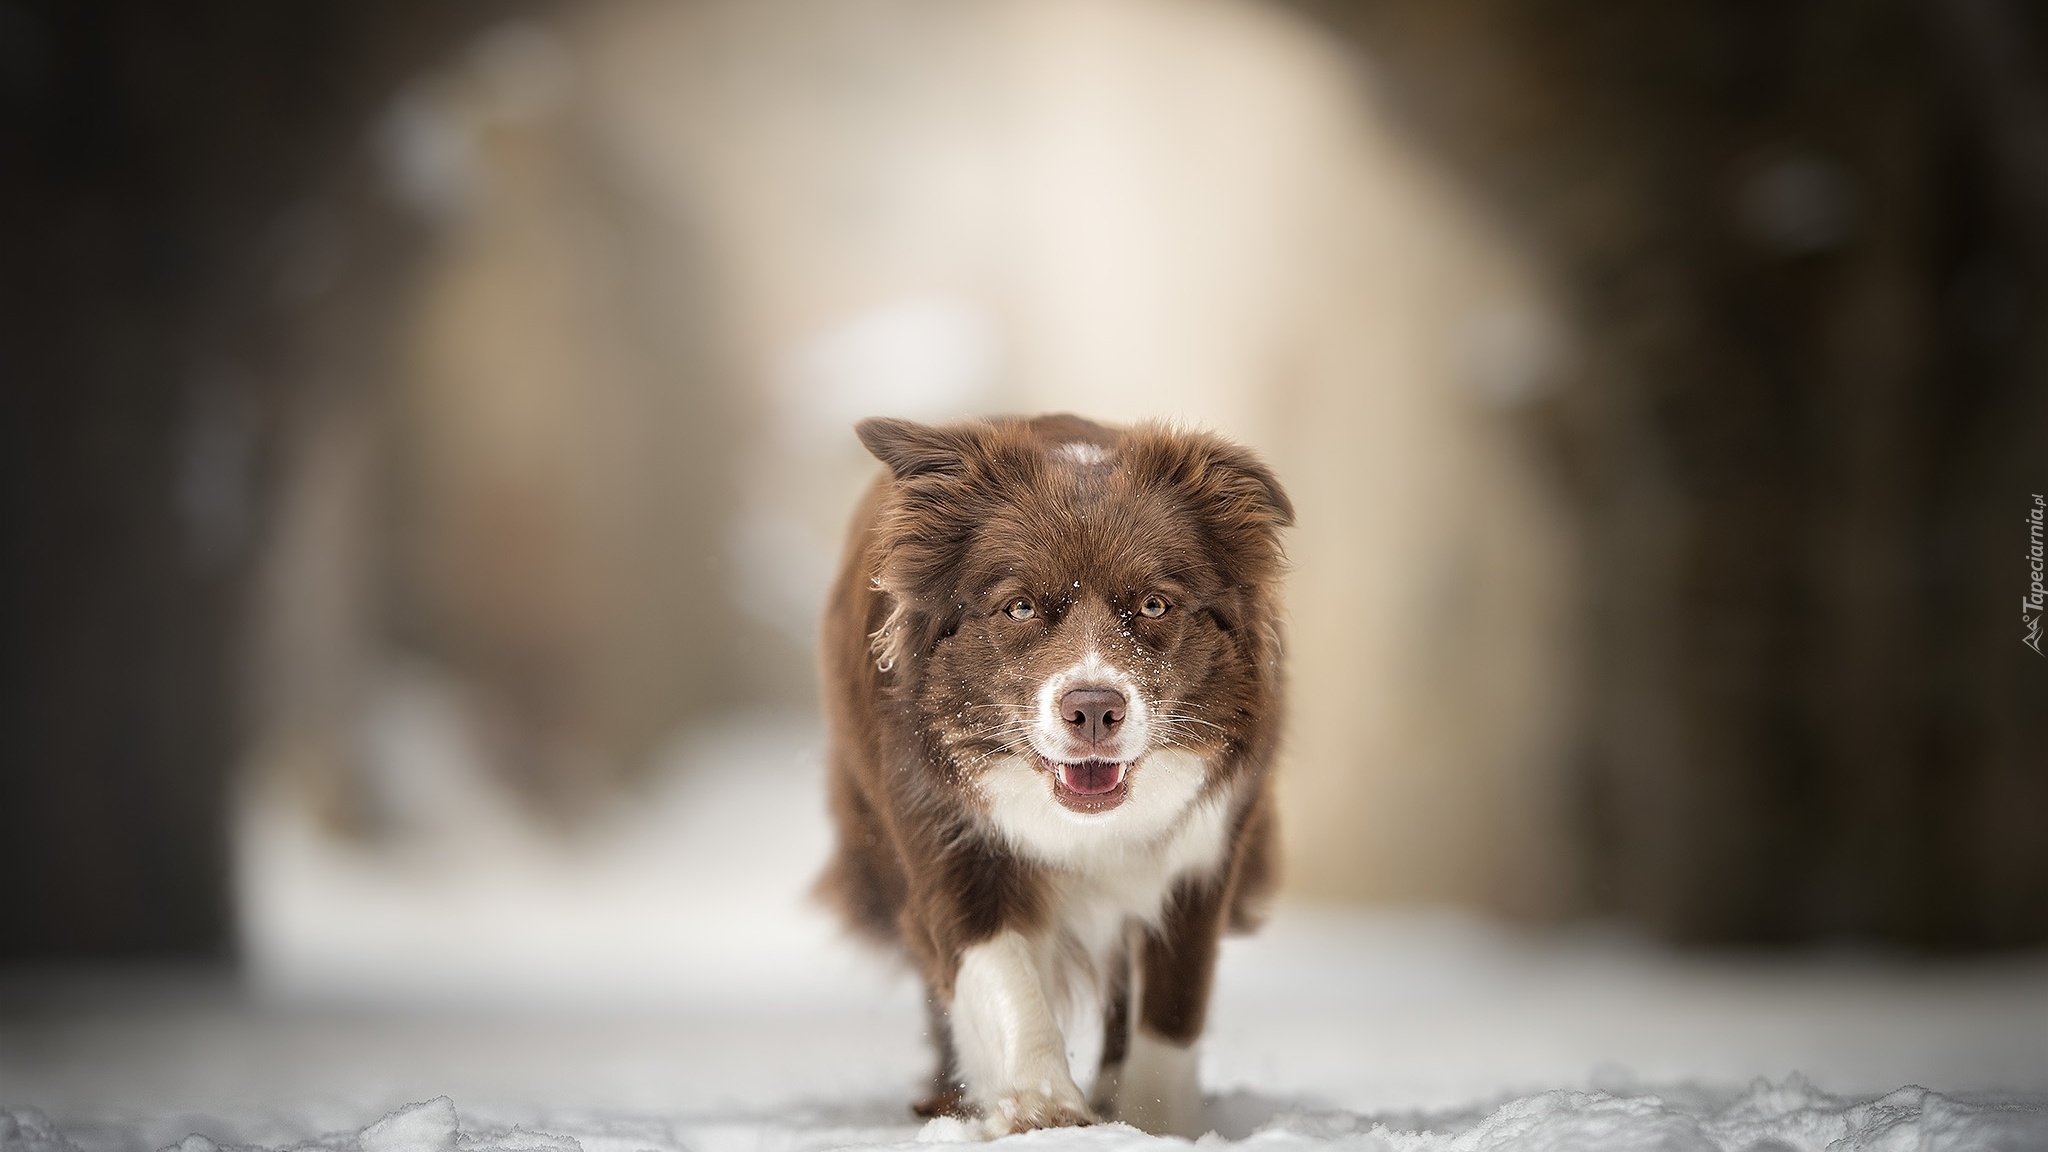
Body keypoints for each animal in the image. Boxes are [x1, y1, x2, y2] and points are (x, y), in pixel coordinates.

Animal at [819, 409, 1286, 1131]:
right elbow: (1000, 968)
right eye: (1020, 607)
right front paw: (1043, 1106)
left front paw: (1156, 1124)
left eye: (1154, 605)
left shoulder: (1206, 851)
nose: (1093, 710)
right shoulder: (948, 835)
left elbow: (1174, 1006)